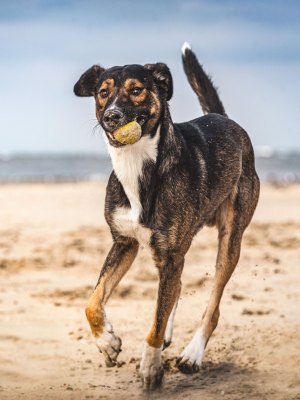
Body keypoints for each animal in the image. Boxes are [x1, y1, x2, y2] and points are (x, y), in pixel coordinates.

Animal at [74, 42, 258, 390]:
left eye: (136, 90)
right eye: (103, 92)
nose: (111, 116)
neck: (137, 165)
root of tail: (224, 119)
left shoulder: (171, 254)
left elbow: (156, 322)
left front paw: (150, 365)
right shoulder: (125, 243)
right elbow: (93, 301)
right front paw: (108, 343)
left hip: (230, 239)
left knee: (211, 304)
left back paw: (192, 354)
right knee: (177, 285)